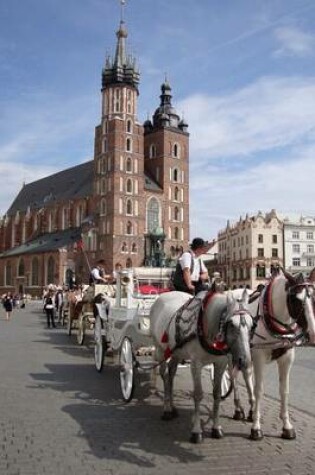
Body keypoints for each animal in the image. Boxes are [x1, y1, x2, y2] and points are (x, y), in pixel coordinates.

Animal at [151, 288, 254, 444]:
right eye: (231, 324)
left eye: (252, 324)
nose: (245, 361)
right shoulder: (196, 364)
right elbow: (198, 394)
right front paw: (196, 431)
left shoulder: (221, 363)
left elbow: (217, 394)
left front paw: (216, 428)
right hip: (160, 349)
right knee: (164, 374)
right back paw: (167, 409)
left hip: (176, 353)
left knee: (171, 374)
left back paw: (173, 407)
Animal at [230, 270, 315, 440]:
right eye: (295, 299)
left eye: (314, 297)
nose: (313, 334)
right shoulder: (259, 357)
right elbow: (259, 389)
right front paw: (256, 428)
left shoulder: (287, 359)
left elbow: (284, 391)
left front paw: (287, 426)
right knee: (233, 375)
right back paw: (238, 409)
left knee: (246, 374)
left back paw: (250, 409)